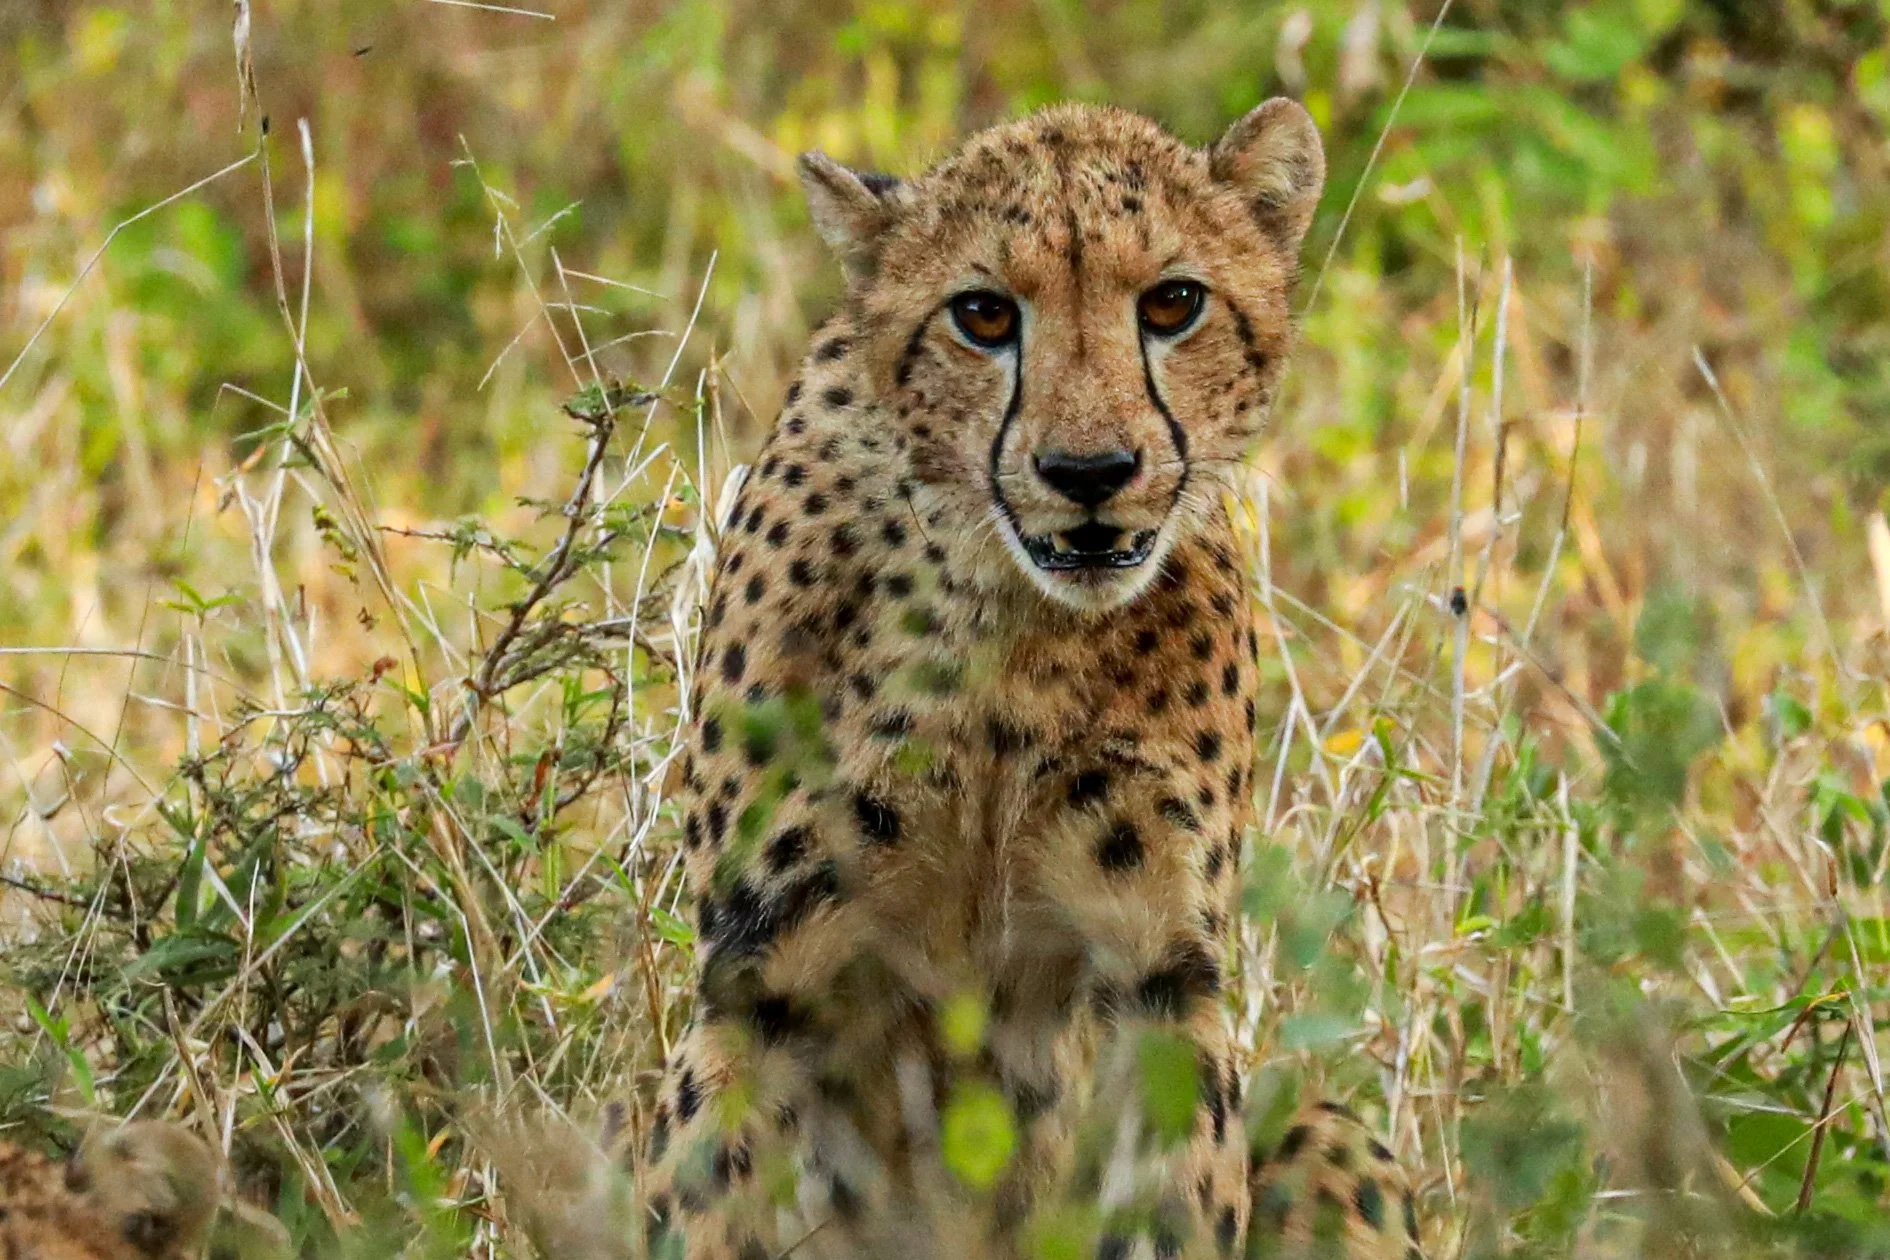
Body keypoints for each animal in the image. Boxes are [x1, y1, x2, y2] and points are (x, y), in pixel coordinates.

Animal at [639, 97, 1422, 1260]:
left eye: (1175, 302)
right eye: (982, 315)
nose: (1089, 474)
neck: (1011, 629)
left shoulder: (1157, 972)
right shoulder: (762, 974)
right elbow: (713, 1191)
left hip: (1330, 1128)